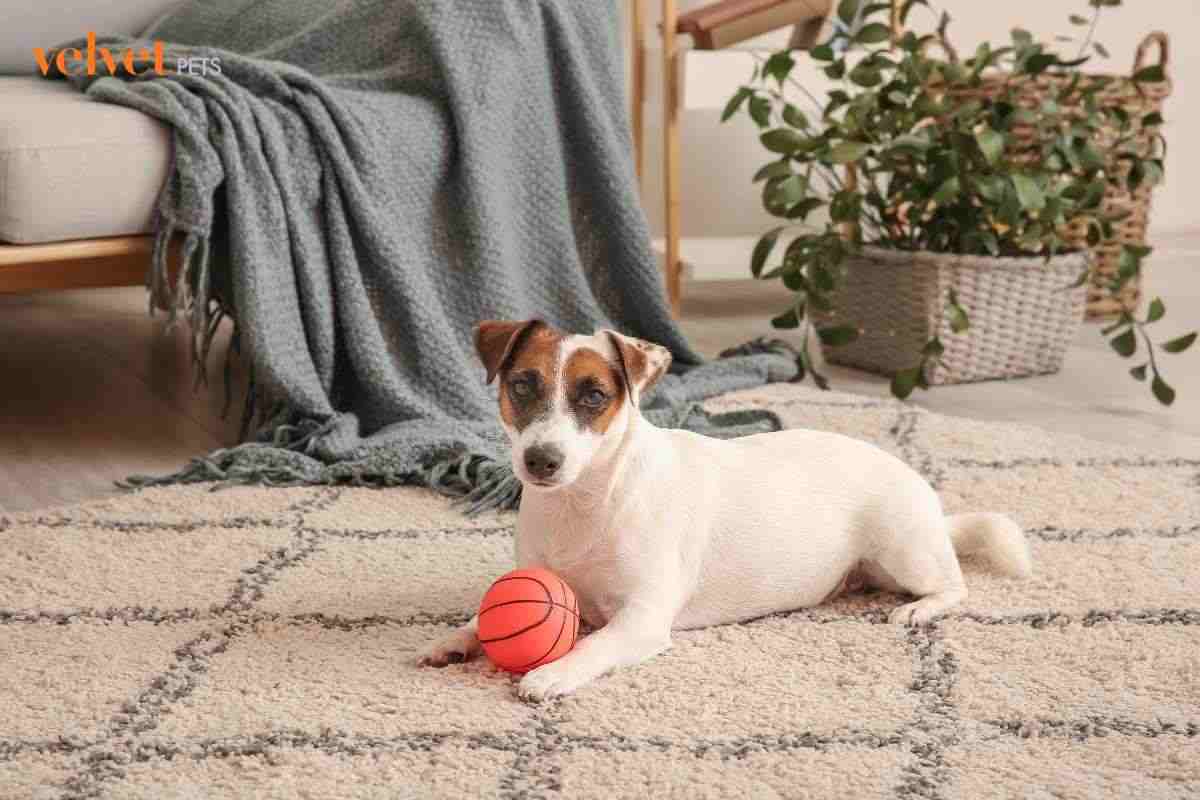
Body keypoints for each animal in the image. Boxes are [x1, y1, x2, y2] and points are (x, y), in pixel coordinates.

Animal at [415, 321, 1032, 700]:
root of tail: (925, 497)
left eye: (594, 396)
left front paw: (553, 672)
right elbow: (478, 618)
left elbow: (594, 643)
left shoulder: (642, 618)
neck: (585, 501)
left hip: (905, 551)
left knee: (954, 584)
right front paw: (455, 639)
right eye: (522, 385)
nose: (540, 460)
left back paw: (918, 610)